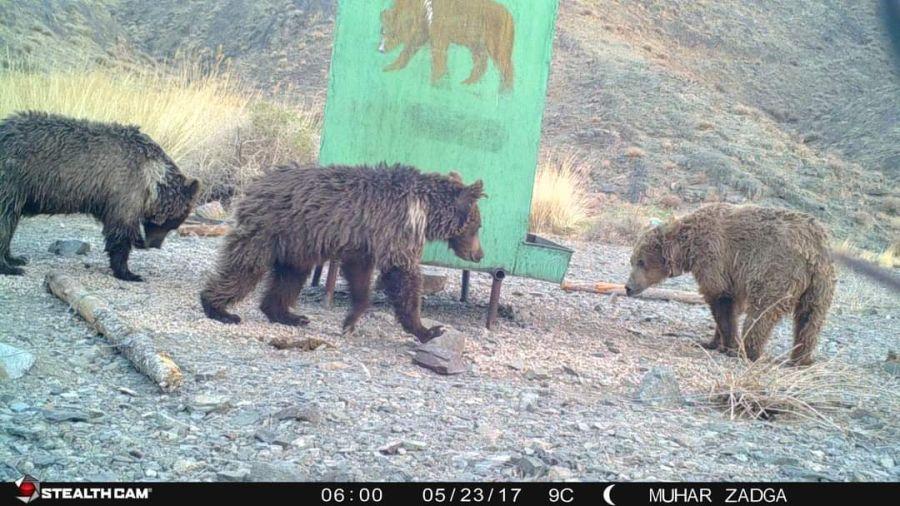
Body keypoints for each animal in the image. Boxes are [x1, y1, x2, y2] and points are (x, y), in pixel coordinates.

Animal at [0, 111, 199, 282]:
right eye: (173, 223)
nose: (154, 245)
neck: (153, 179)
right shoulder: (125, 189)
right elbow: (120, 233)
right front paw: (128, 273)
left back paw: (14, 258)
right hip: (13, 178)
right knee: (5, 222)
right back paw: (9, 267)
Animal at [201, 162, 486, 344]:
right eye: (478, 226)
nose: (479, 254)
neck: (426, 210)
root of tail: (257, 181)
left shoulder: (363, 242)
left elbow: (360, 276)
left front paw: (350, 320)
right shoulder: (397, 228)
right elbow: (402, 273)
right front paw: (428, 329)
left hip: (295, 244)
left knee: (289, 276)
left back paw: (289, 315)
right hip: (269, 229)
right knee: (244, 267)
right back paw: (219, 308)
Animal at [378, 0, 512, 90]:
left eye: (392, 33)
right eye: (382, 31)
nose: (381, 49)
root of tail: (509, 14)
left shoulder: (439, 25)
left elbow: (438, 54)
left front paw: (435, 82)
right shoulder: (424, 28)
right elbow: (410, 48)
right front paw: (390, 67)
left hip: (495, 35)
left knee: (502, 60)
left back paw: (505, 91)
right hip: (475, 41)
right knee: (480, 59)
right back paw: (467, 82)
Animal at [624, 204, 836, 366]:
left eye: (641, 261)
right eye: (632, 260)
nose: (628, 287)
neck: (688, 247)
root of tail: (813, 247)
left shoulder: (715, 257)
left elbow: (721, 300)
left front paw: (728, 344)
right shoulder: (734, 275)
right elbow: (731, 306)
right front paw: (712, 341)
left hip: (776, 269)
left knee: (762, 312)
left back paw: (747, 351)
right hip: (820, 283)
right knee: (809, 319)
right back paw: (800, 359)